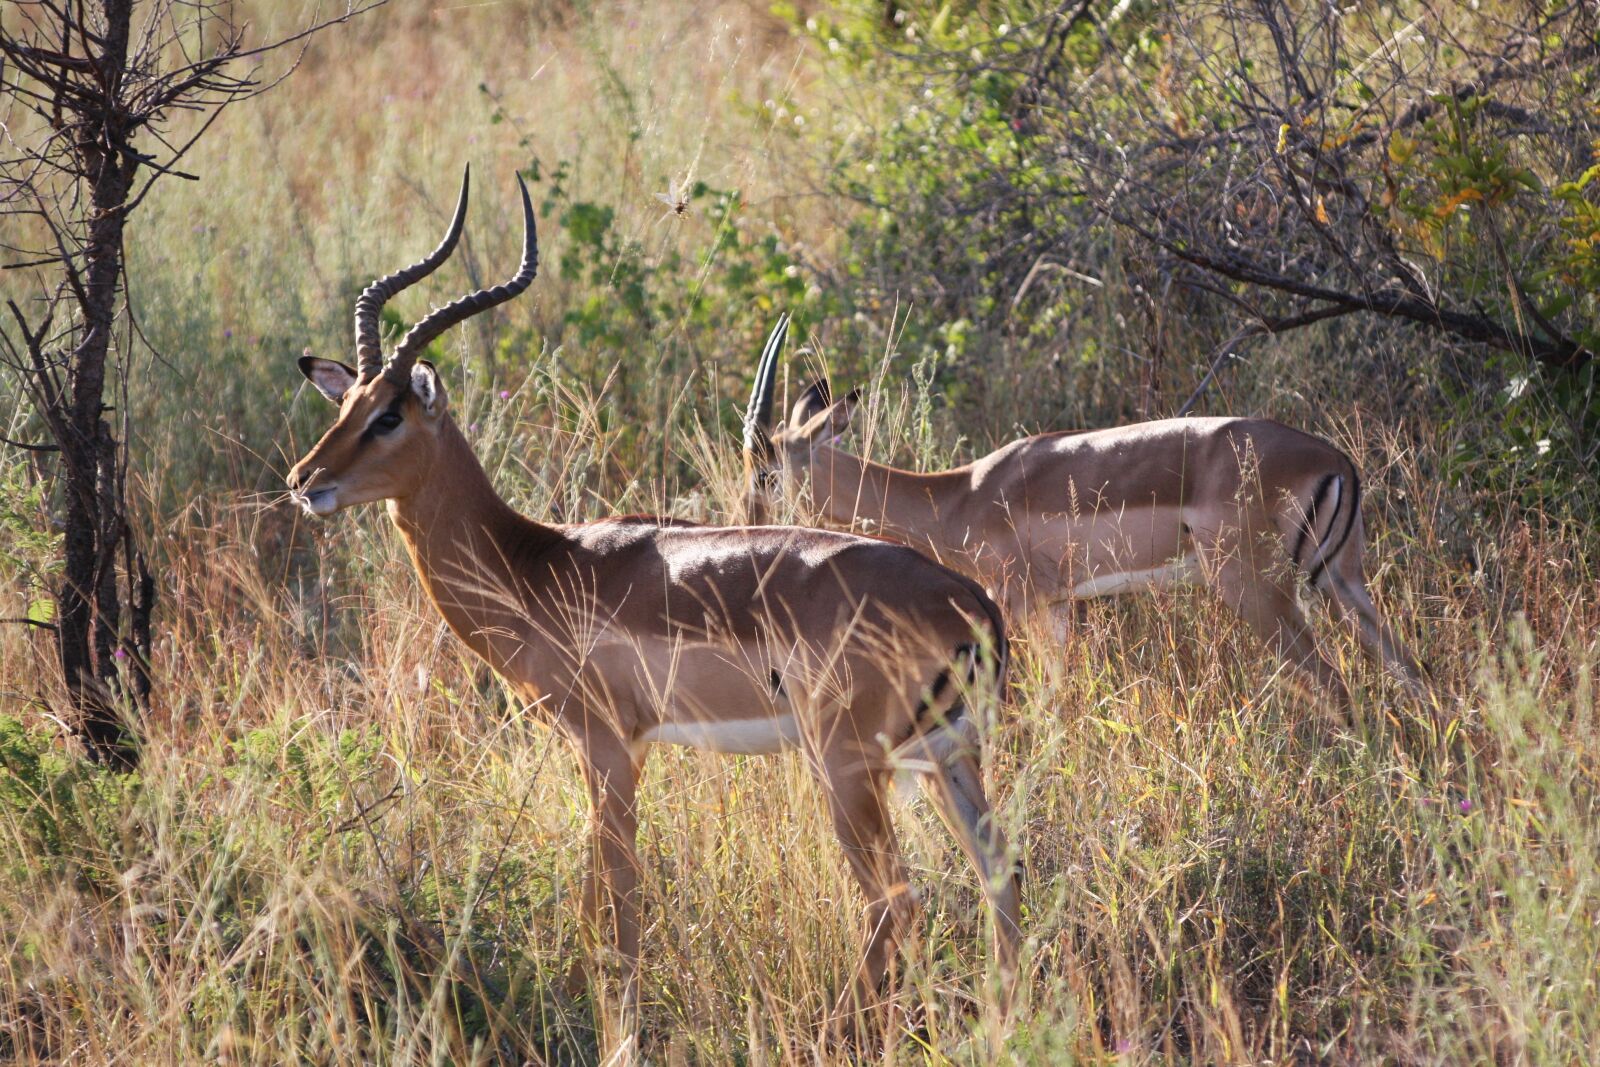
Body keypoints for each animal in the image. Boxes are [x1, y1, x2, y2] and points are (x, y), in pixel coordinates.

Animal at [285, 169, 1021, 1050]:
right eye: (346, 405)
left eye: (389, 415)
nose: (304, 479)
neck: (534, 565)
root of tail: (969, 601)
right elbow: (602, 900)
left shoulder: (609, 746)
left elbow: (618, 905)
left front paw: (617, 1036)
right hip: (948, 757)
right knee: (999, 880)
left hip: (848, 765)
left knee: (896, 901)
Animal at [743, 316, 1426, 715]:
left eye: (766, 471)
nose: (747, 525)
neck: (960, 496)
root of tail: (1336, 460)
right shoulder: (1057, 607)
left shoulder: (1015, 605)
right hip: (1342, 582)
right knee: (1408, 670)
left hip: (1260, 593)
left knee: (1334, 685)